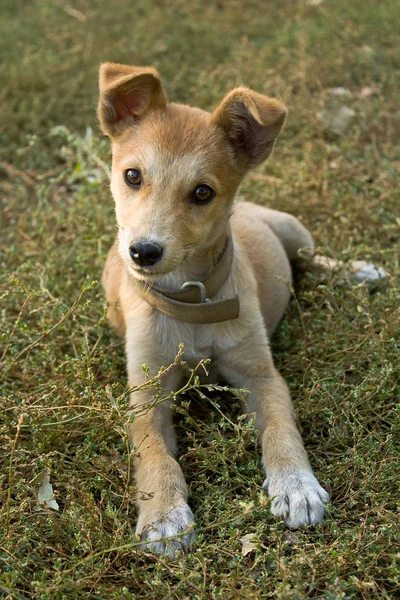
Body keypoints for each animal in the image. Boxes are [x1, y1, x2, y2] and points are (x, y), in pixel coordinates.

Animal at [97, 63, 328, 556]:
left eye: (202, 193)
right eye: (133, 176)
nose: (143, 252)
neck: (190, 301)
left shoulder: (261, 374)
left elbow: (281, 428)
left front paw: (296, 485)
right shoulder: (146, 392)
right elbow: (153, 451)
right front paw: (164, 513)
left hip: (294, 231)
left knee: (315, 260)